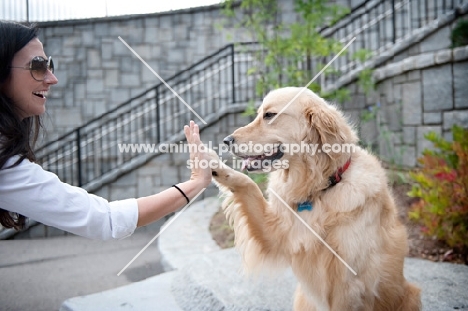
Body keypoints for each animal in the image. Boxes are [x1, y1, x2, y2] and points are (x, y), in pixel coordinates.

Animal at [207, 88, 420, 311]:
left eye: (269, 115)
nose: (226, 140)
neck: (320, 187)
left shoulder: (348, 285)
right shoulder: (275, 234)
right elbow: (249, 185)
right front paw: (214, 164)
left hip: (411, 294)